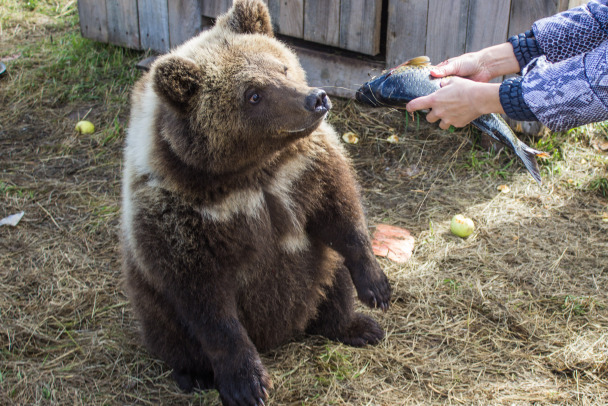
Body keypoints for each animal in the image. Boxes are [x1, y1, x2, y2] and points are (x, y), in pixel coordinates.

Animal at [121, 1, 392, 404]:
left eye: (282, 65)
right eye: (253, 94)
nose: (316, 98)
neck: (249, 171)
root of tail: (280, 336)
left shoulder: (302, 171)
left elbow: (340, 213)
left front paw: (376, 288)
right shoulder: (181, 217)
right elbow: (208, 304)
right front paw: (248, 384)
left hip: (318, 273)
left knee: (332, 283)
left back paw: (355, 325)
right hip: (152, 299)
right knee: (171, 331)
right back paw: (192, 373)